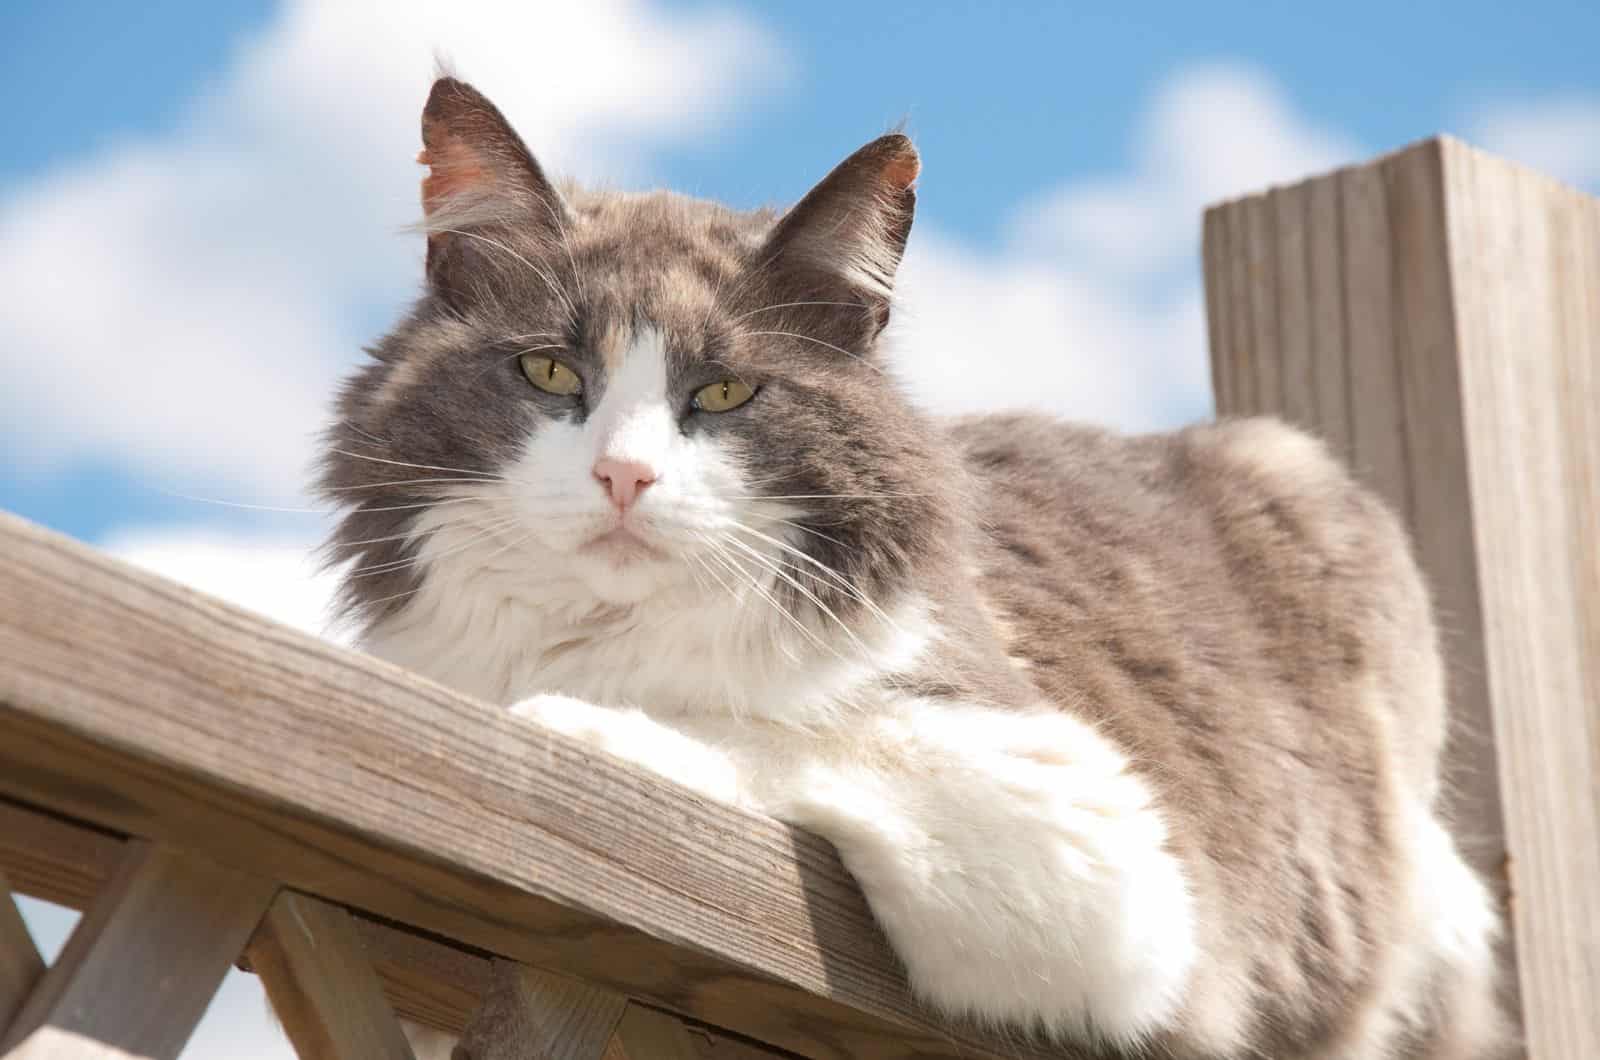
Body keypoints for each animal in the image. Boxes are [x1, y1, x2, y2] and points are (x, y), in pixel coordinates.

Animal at [321, 76, 1510, 1060]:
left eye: (723, 394)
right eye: (549, 372)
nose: (623, 476)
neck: (598, 635)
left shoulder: (1104, 845)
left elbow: (768, 726)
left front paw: (576, 722)